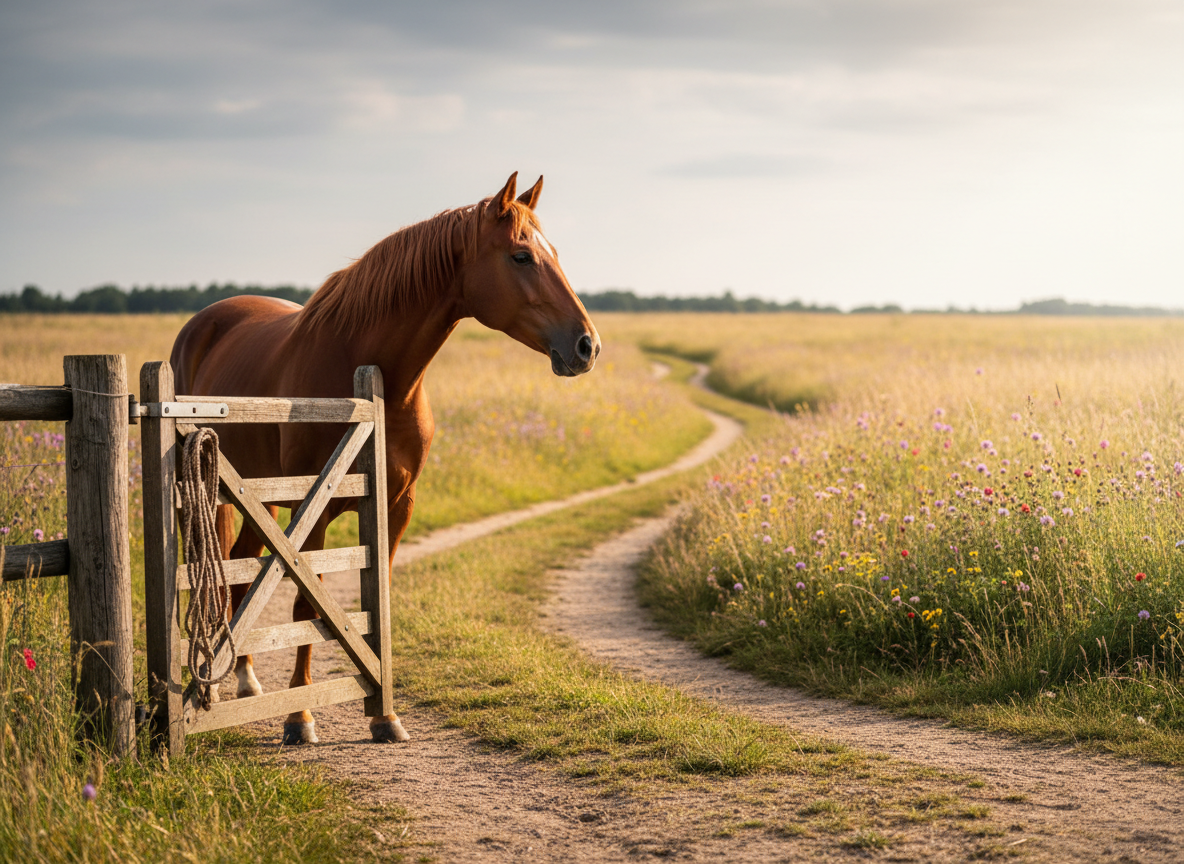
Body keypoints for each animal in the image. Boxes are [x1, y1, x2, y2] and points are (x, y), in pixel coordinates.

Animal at [170, 172, 600, 744]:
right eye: (521, 256)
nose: (587, 345)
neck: (375, 378)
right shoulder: (314, 510)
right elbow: (308, 605)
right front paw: (300, 717)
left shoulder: (396, 505)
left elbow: (379, 602)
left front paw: (384, 716)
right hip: (222, 493)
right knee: (220, 575)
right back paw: (220, 688)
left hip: (261, 500)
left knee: (241, 569)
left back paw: (246, 678)